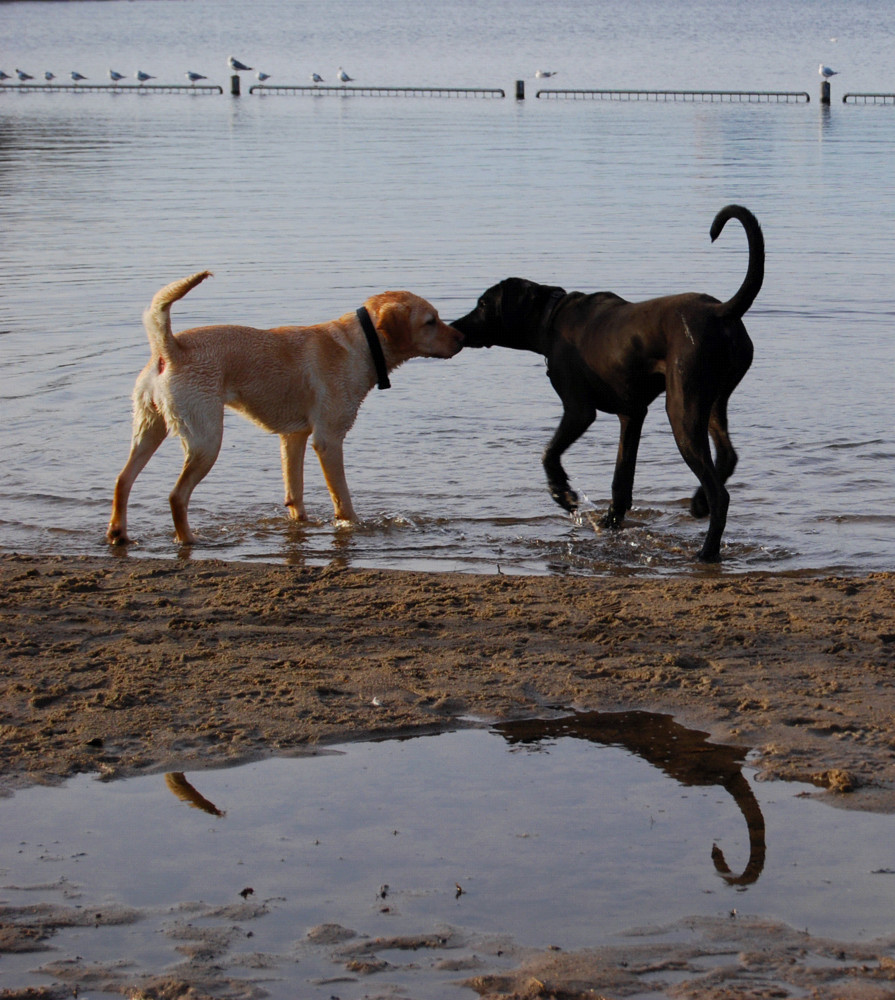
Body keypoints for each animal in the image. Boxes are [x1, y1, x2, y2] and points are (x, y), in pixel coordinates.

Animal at [452, 203, 768, 564]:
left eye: (482, 304)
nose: (455, 326)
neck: (551, 317)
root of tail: (721, 311)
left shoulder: (578, 410)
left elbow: (549, 453)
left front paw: (563, 494)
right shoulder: (632, 414)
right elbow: (621, 479)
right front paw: (610, 522)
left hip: (683, 411)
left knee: (721, 494)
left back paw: (707, 550)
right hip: (713, 400)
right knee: (727, 457)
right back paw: (699, 502)